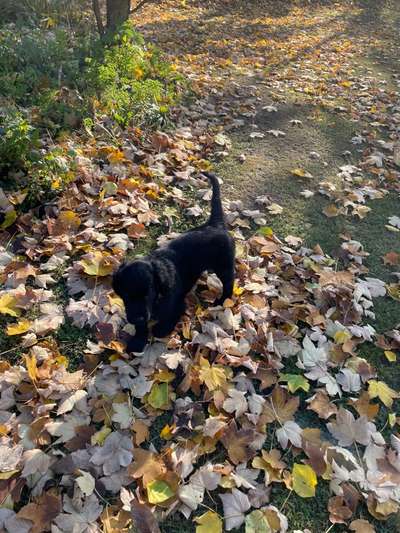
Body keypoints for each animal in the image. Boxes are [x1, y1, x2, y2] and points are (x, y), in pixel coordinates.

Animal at [112, 172, 236, 352]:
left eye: (148, 293)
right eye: (126, 295)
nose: (137, 318)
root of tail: (215, 224)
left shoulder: (177, 303)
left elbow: (169, 316)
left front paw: (160, 329)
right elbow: (141, 327)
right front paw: (138, 341)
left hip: (224, 266)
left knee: (229, 284)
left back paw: (222, 301)